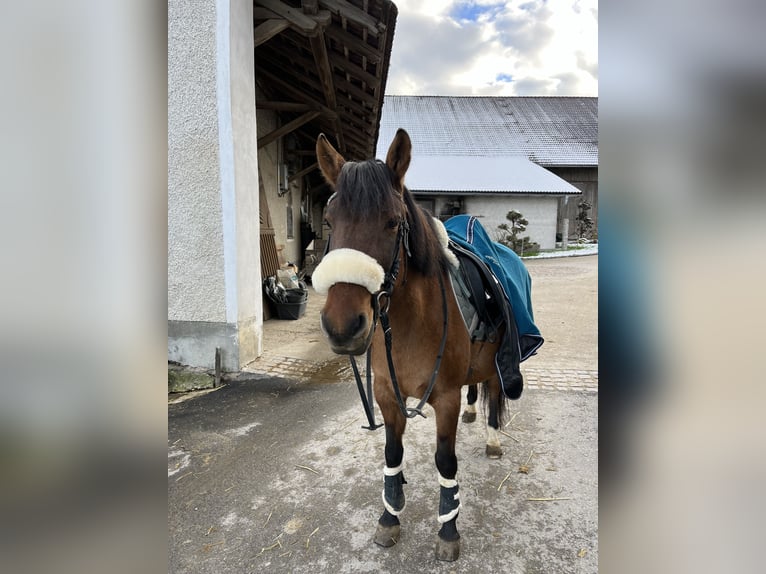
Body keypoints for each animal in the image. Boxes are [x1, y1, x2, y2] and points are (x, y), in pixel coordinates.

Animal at [312, 129, 510, 564]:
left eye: (391, 222)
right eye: (329, 221)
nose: (342, 326)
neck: (408, 327)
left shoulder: (446, 397)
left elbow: (445, 461)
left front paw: (448, 528)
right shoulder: (388, 394)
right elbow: (392, 453)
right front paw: (389, 517)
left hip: (496, 362)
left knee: (493, 387)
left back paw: (491, 437)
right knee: (477, 386)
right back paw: (475, 413)